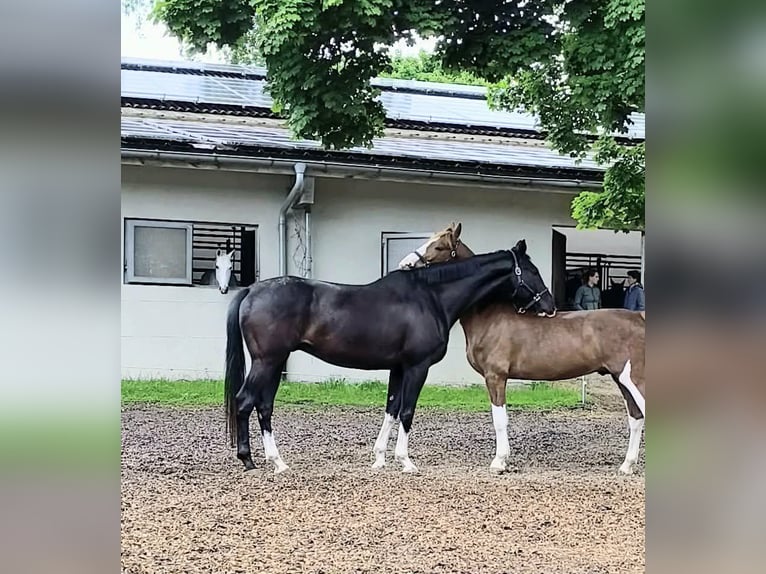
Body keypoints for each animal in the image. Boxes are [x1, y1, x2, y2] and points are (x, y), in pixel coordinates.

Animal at [224, 246, 555, 475]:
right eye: (532, 271)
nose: (550, 306)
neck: (431, 298)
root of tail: (252, 290)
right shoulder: (417, 367)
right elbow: (407, 411)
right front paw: (406, 462)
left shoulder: (398, 368)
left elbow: (391, 410)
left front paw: (380, 459)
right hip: (267, 361)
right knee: (245, 401)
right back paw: (249, 460)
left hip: (274, 363)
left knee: (264, 406)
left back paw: (278, 462)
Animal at [399, 223, 645, 475]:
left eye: (438, 247)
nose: (405, 264)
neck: (489, 316)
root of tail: (639, 318)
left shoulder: (496, 376)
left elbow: (500, 419)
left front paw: (499, 462)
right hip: (620, 378)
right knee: (636, 417)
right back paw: (626, 466)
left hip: (634, 378)